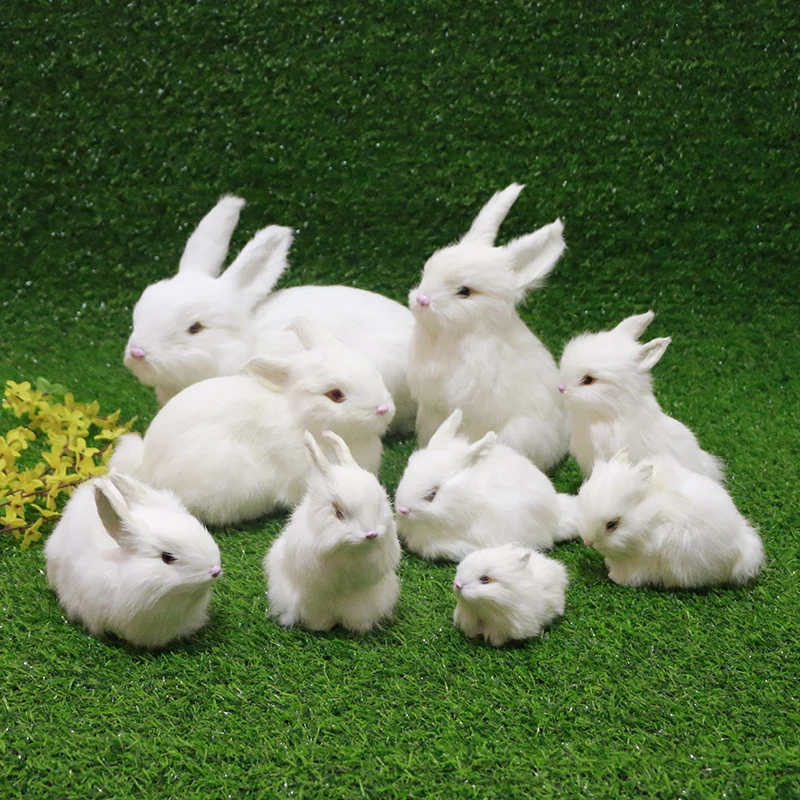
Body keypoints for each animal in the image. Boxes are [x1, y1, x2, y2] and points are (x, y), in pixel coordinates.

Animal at [577, 449, 765, 589]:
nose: (588, 542)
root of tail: (742, 546)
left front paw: (614, 578)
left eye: (612, 524)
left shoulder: (641, 560)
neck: (650, 519)